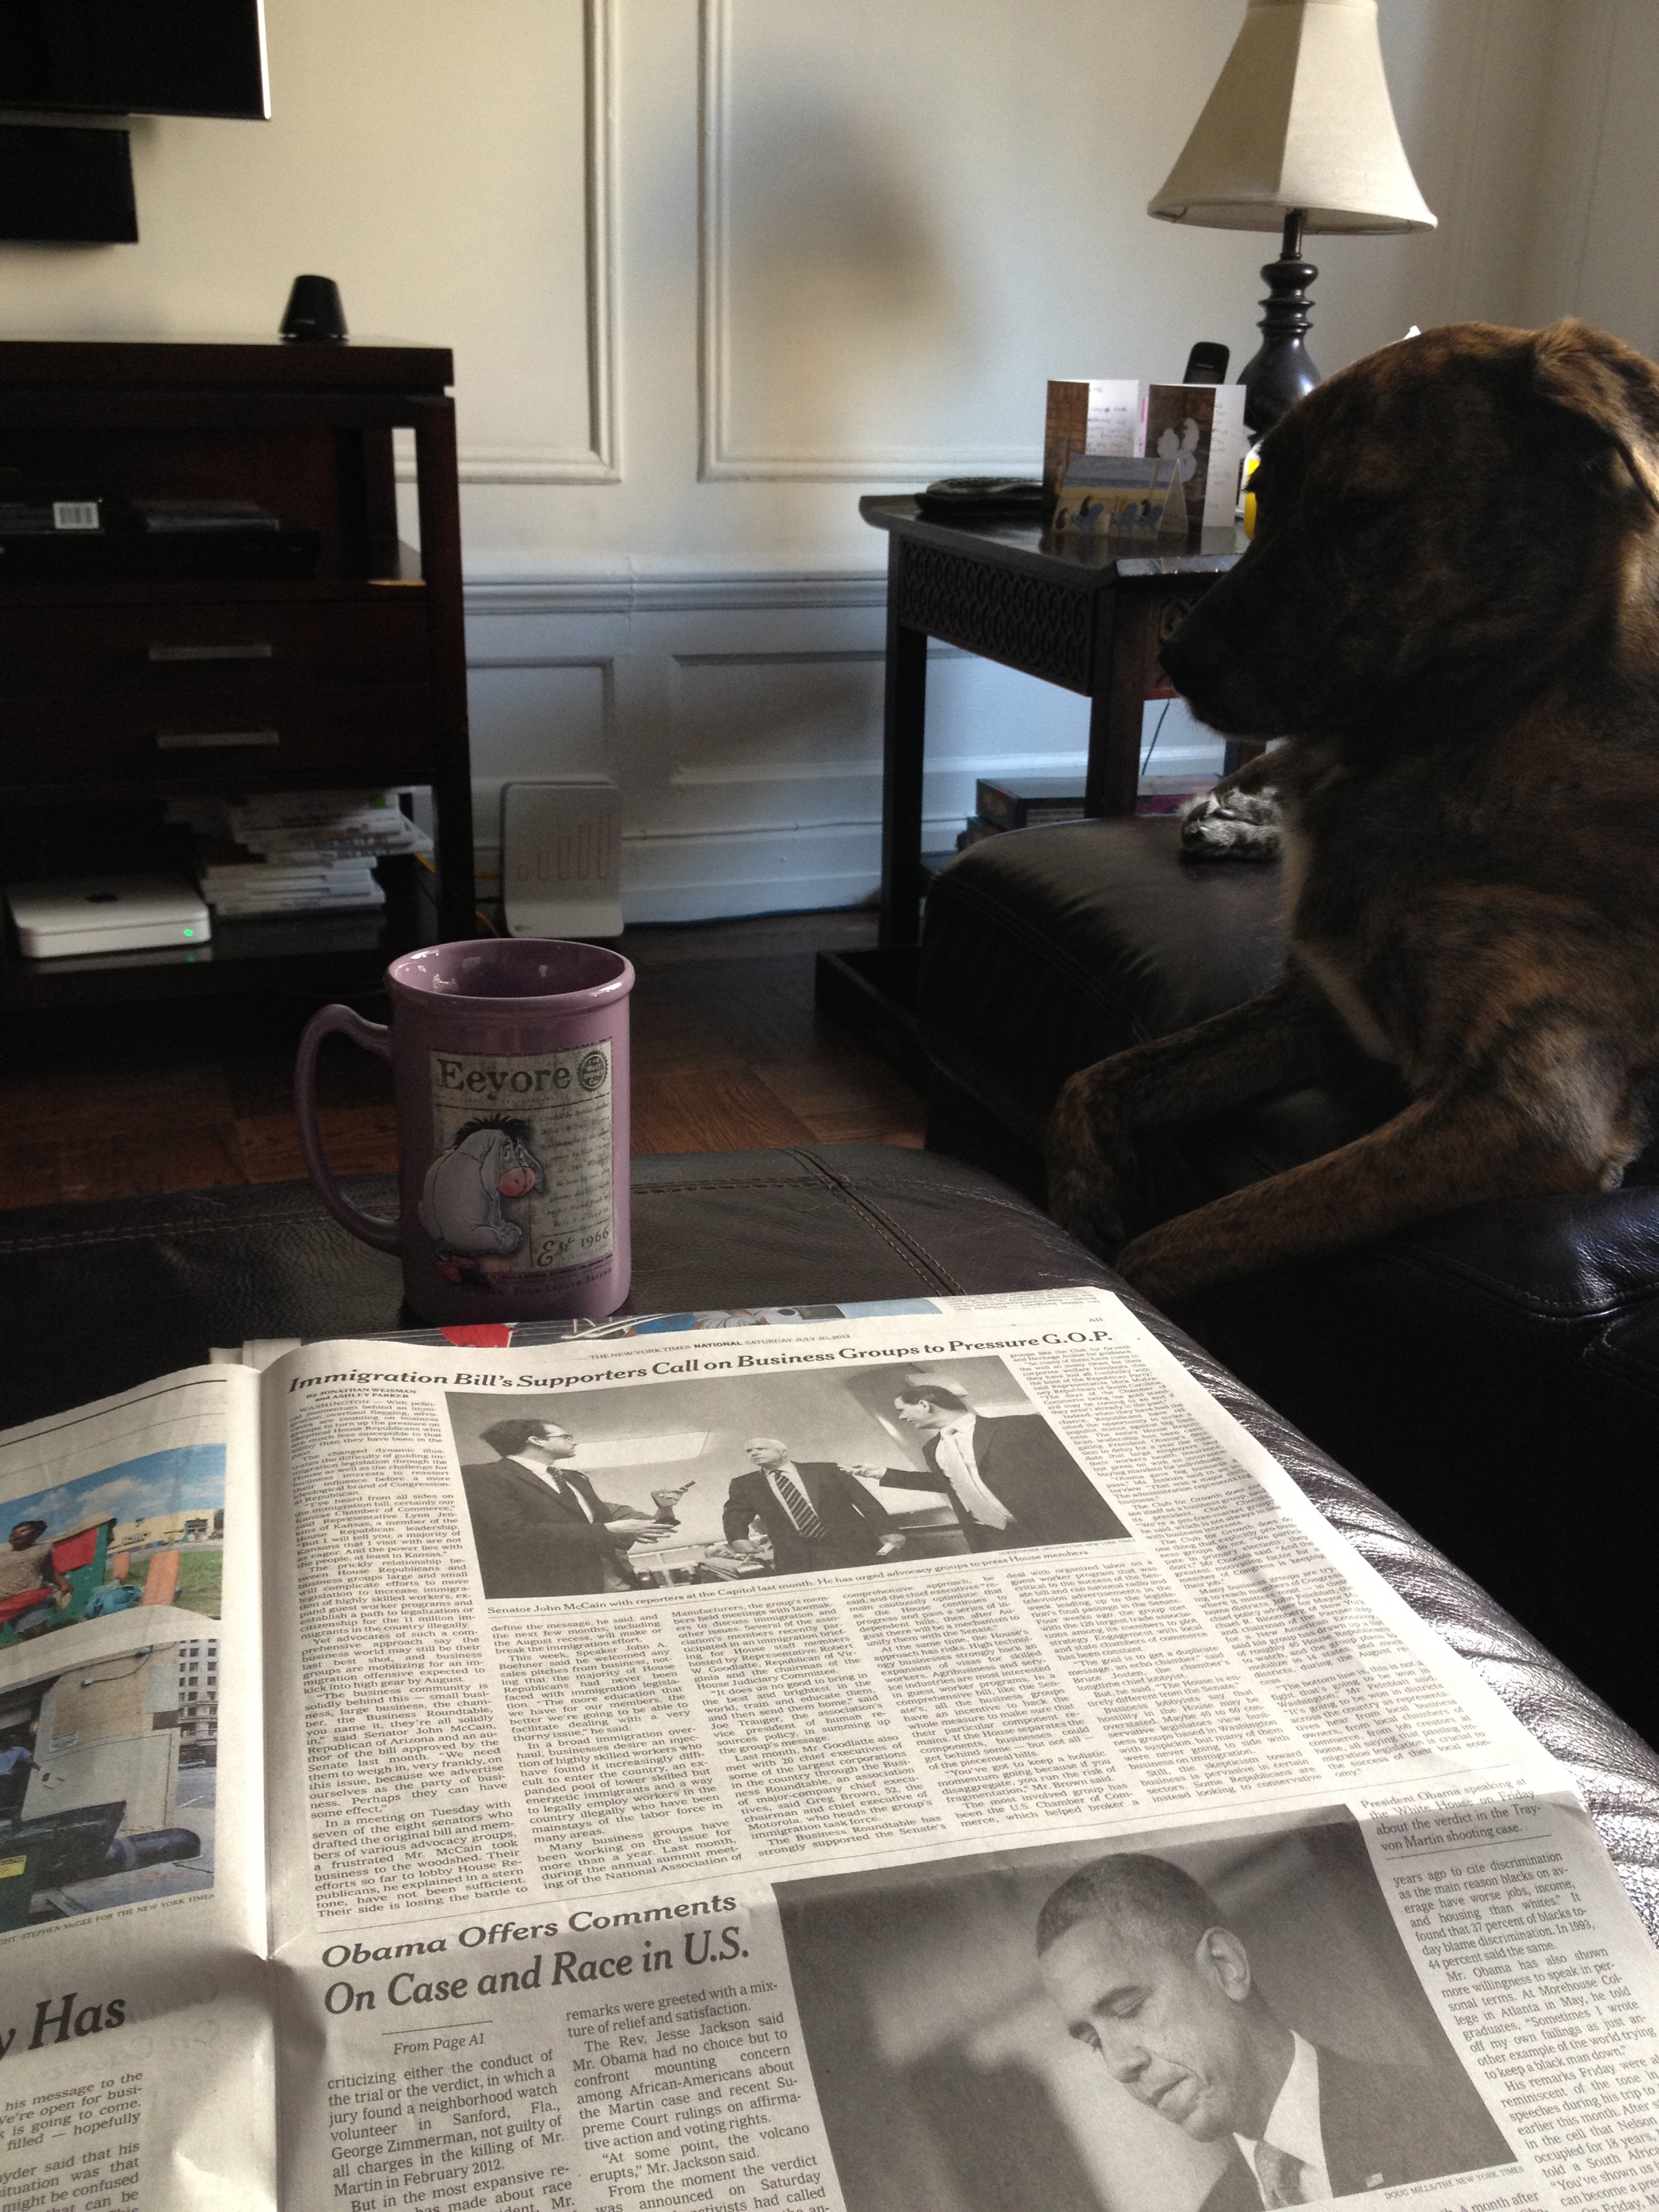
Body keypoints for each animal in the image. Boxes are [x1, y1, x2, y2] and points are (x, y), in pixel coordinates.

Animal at [1047, 318, 1659, 1305]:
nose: (1175, 657)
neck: (1495, 719)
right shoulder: (1320, 1009)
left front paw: (1107, 1284)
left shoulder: (1530, 1113)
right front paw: (1081, 1198)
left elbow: (1174, 1247)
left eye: (1363, 512)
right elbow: (1095, 1077)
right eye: (1264, 495)